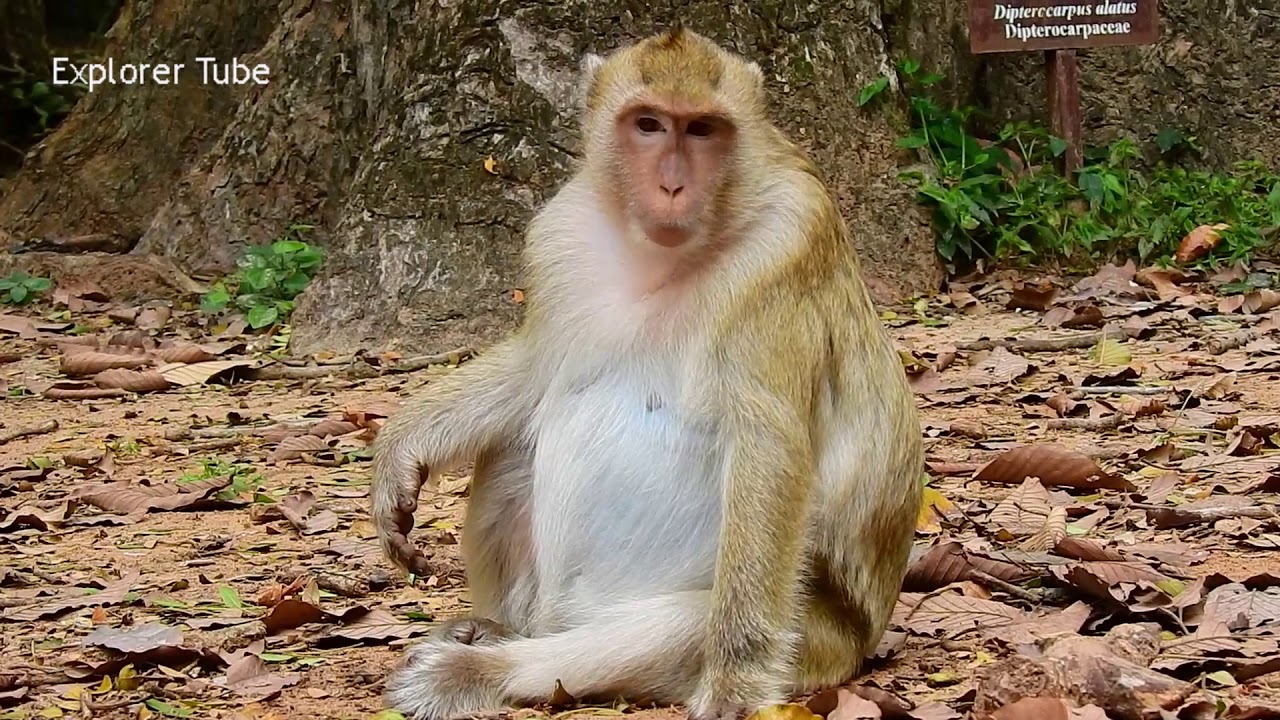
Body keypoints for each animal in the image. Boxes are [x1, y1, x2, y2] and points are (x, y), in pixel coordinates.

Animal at [370, 26, 923, 720]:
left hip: (817, 641)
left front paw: (736, 686)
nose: (672, 186)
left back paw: (479, 670)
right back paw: (495, 629)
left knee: (685, 624)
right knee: (511, 449)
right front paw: (401, 446)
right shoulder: (562, 237)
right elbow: (536, 370)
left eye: (704, 129)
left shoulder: (786, 248)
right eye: (649, 124)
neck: (661, 258)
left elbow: (770, 449)